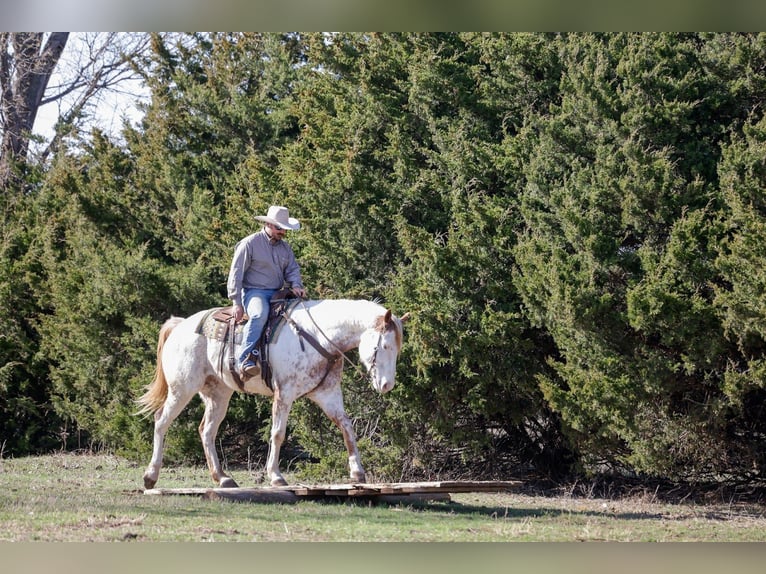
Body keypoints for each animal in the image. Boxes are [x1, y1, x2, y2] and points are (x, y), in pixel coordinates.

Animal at [137, 298, 409, 489]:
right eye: (384, 346)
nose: (387, 385)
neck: (318, 336)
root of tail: (180, 326)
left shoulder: (328, 395)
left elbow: (347, 428)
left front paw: (357, 472)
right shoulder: (284, 394)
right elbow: (278, 434)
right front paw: (276, 476)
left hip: (218, 395)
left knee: (206, 431)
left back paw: (223, 478)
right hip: (182, 389)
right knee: (161, 421)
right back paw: (150, 476)